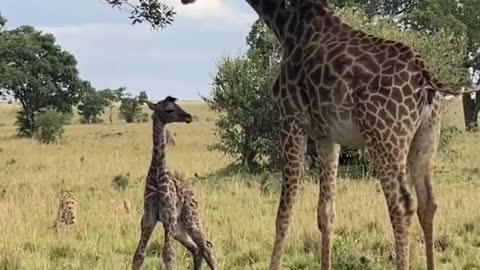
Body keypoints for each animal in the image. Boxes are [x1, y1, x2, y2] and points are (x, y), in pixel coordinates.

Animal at [130, 96, 215, 270]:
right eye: (169, 109)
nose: (189, 117)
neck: (157, 175)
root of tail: (193, 194)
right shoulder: (148, 219)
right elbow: (139, 255)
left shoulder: (168, 218)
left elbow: (168, 255)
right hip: (179, 230)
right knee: (197, 249)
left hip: (191, 220)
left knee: (207, 247)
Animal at [180, 0, 458, 270]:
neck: (286, 24)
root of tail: (425, 77)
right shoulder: (327, 136)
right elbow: (326, 212)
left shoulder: (291, 119)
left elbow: (284, 214)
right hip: (426, 136)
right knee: (428, 203)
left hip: (385, 136)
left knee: (402, 205)